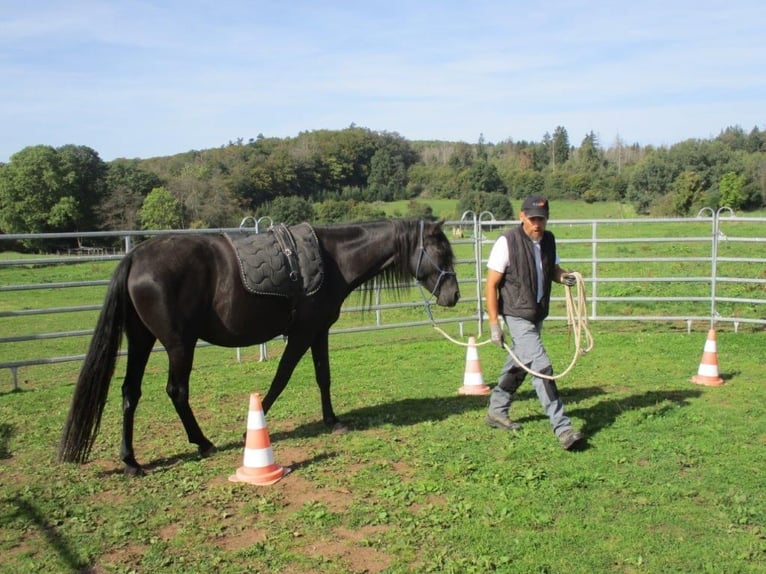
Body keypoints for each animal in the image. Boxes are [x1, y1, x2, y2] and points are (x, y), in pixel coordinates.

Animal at [58, 220, 462, 476]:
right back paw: (202, 443)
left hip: (142, 340)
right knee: (176, 391)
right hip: (178, 344)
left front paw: (333, 421)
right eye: (441, 252)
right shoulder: (302, 334)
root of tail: (134, 258)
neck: (333, 260)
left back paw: (131, 462)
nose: (454, 295)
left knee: (130, 392)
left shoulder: (319, 333)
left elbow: (323, 377)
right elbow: (282, 377)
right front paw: (254, 424)